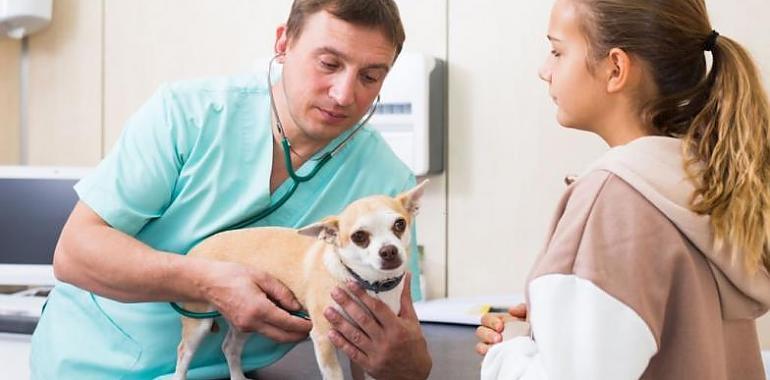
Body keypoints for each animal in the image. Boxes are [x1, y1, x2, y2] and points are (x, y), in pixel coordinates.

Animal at [170, 181, 426, 380]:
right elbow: (335, 375)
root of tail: (194, 250)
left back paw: (238, 376)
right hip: (199, 323)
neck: (370, 284)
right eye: (359, 237)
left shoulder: (362, 345)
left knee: (229, 346)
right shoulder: (323, 339)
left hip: (246, 316)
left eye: (400, 224)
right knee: (183, 353)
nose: (389, 251)